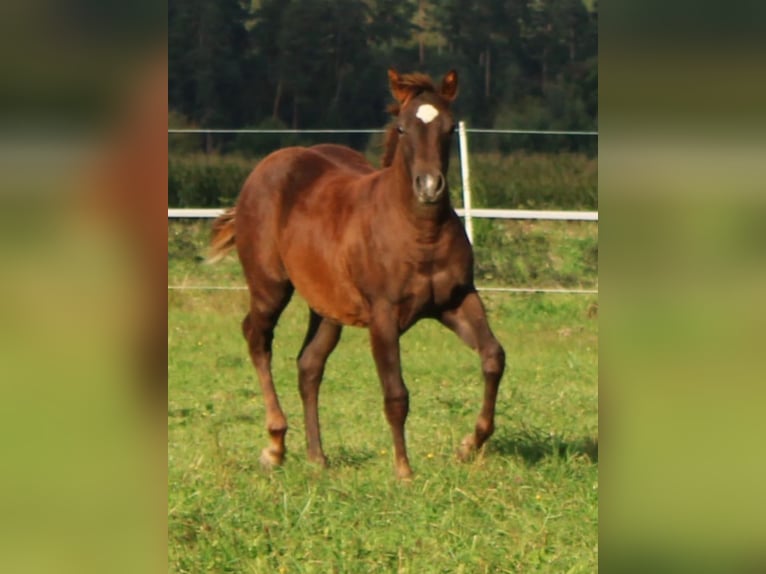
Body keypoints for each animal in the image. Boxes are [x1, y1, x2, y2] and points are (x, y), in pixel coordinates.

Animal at [209, 68, 505, 479]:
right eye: (402, 128)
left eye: (448, 128)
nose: (429, 187)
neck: (419, 234)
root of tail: (264, 169)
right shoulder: (383, 315)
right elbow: (395, 394)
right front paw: (404, 471)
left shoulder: (457, 301)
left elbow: (493, 357)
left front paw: (468, 445)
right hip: (270, 286)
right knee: (257, 338)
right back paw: (275, 446)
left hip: (327, 307)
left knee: (309, 364)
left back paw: (317, 457)